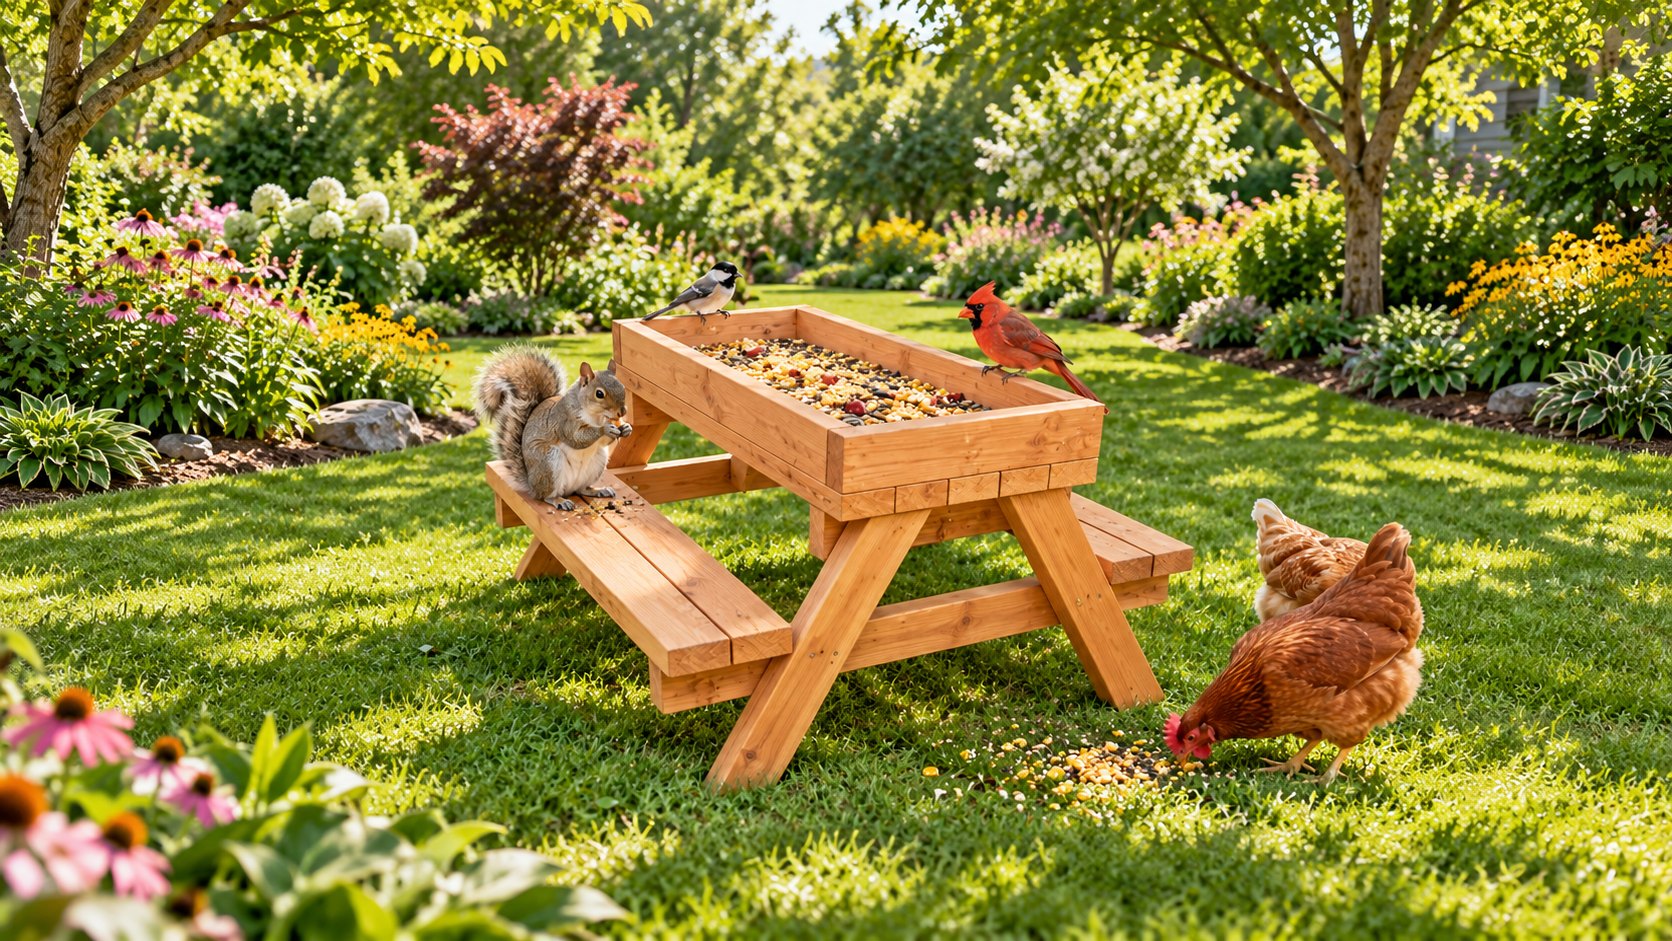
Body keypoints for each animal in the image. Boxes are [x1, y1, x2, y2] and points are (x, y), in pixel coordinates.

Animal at [473, 347, 633, 511]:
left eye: (623, 387)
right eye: (599, 393)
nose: (622, 412)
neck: (595, 416)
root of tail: (532, 485)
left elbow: (602, 442)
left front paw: (626, 428)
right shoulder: (564, 421)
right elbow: (575, 438)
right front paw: (605, 429)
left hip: (597, 461)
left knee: (581, 489)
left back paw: (598, 490)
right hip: (548, 461)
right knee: (546, 496)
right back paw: (559, 500)